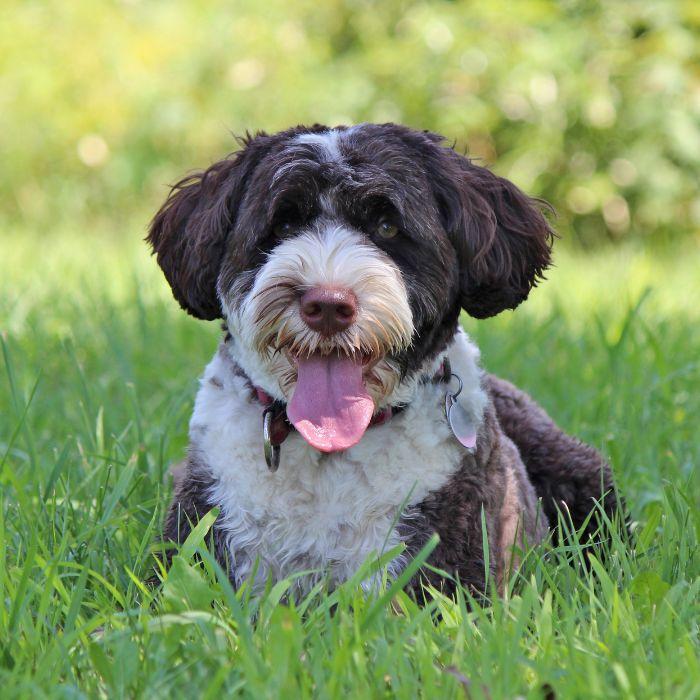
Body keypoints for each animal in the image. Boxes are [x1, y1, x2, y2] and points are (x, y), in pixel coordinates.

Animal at [146, 123, 616, 600]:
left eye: (387, 226)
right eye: (284, 223)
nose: (328, 304)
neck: (328, 453)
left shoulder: (446, 574)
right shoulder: (197, 545)